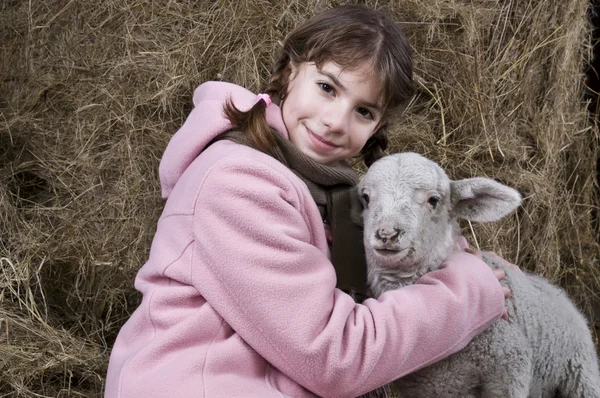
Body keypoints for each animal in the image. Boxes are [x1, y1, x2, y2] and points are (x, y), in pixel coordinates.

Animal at [356, 152, 600, 398]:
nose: (387, 234)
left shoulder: (510, 370)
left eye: (433, 200)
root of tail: (559, 292)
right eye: (366, 197)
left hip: (581, 375)